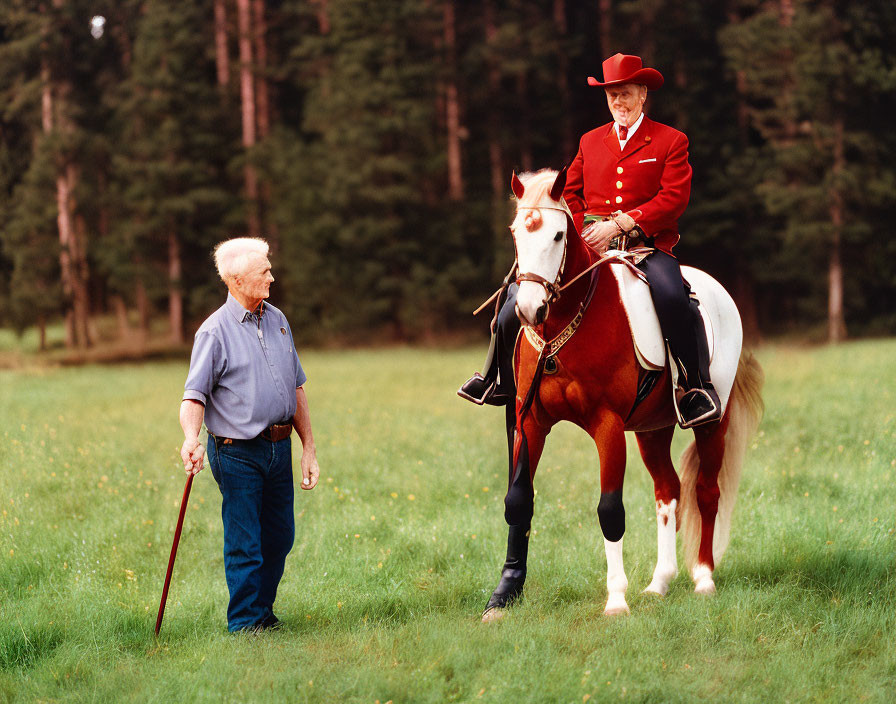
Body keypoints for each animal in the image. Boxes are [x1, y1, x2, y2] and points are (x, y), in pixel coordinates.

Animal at [480, 169, 768, 620]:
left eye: (559, 235)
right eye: (515, 233)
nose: (528, 309)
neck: (567, 321)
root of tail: (718, 290)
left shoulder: (608, 426)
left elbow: (610, 510)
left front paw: (616, 599)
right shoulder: (529, 422)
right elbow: (518, 501)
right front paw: (505, 593)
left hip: (712, 424)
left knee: (706, 492)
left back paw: (703, 577)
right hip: (652, 427)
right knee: (668, 492)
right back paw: (659, 583)